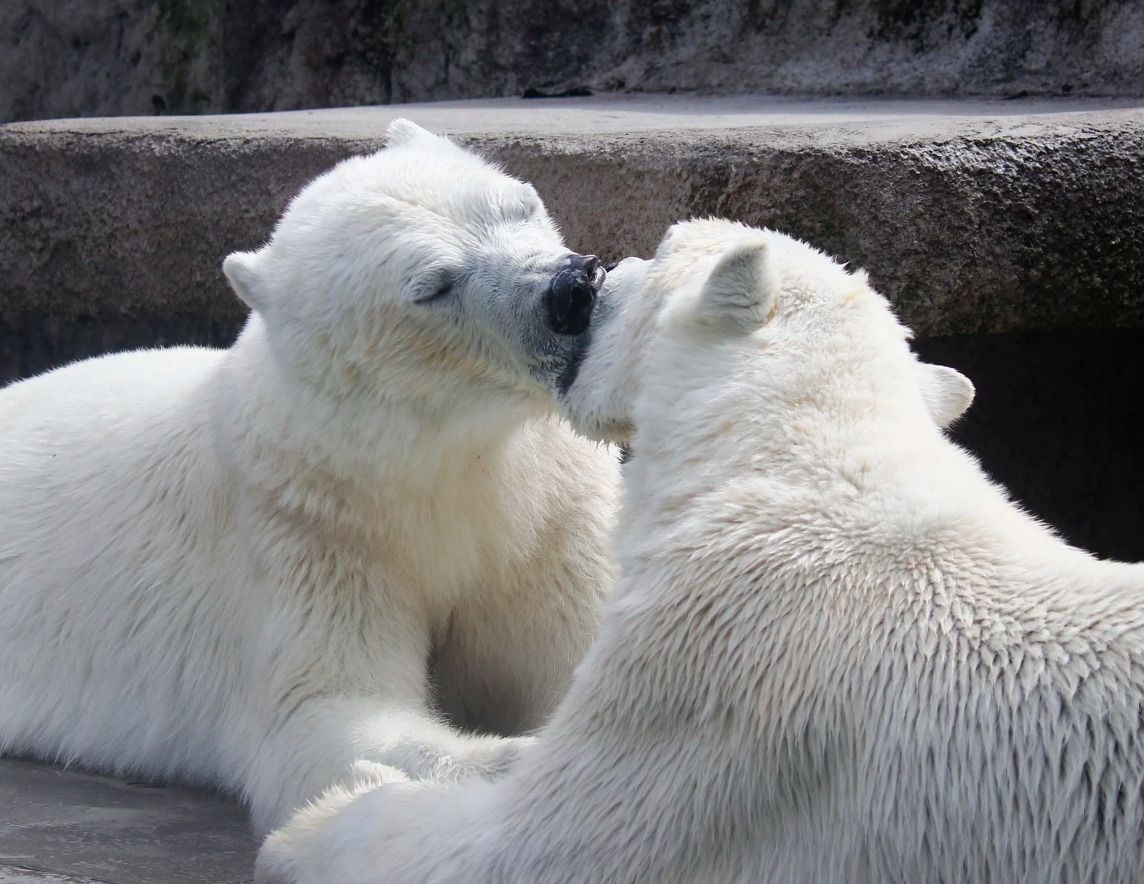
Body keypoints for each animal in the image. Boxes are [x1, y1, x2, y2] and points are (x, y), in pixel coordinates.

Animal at [0, 119, 620, 837]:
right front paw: (512, 763)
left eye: (519, 204)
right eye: (433, 285)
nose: (571, 290)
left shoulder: (554, 518)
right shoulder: (310, 530)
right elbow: (323, 711)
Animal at [256, 219, 1144, 884]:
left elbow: (529, 846)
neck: (790, 462)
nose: (593, 275)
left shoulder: (708, 688)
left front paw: (318, 822)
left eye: (659, 244)